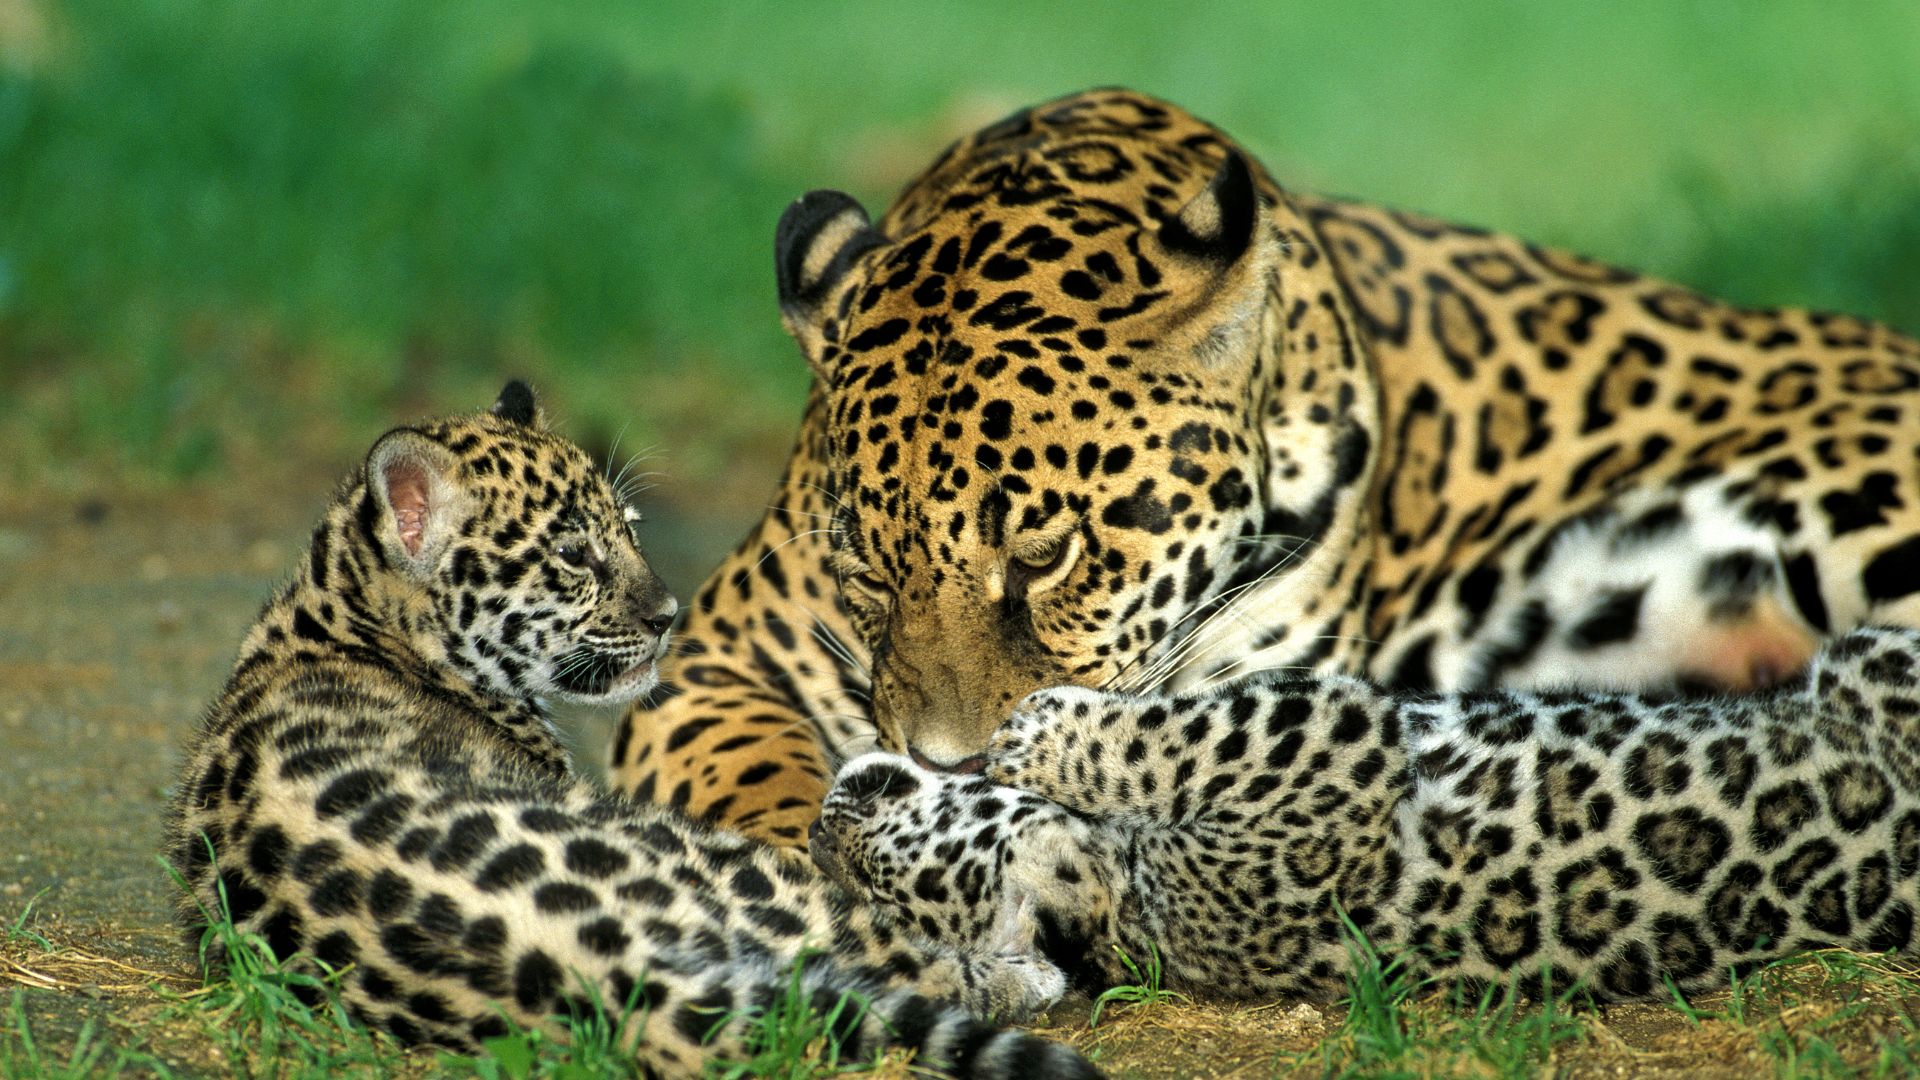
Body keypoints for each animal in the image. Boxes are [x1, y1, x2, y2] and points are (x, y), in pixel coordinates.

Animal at [163, 382, 1096, 1079]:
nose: (666, 614)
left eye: (630, 530)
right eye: (574, 555)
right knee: (900, 953)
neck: (345, 615)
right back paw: (1027, 966)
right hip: (743, 869)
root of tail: (586, 969)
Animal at [814, 625, 1920, 1003]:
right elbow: (1192, 729)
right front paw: (1040, 727)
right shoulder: (1322, 747)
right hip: (1873, 662)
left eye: (877, 868)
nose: (829, 821)